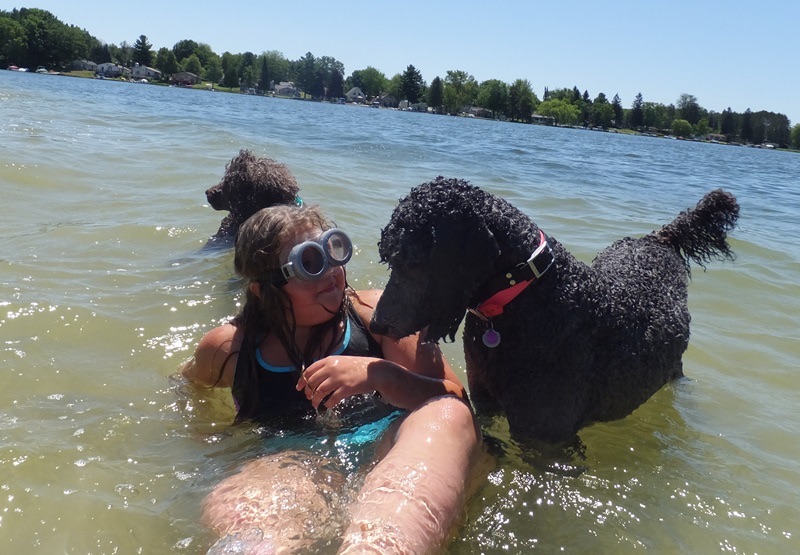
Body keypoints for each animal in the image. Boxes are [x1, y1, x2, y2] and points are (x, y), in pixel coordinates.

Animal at [370, 177, 739, 443]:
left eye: (410, 260)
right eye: (389, 257)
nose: (376, 324)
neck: (524, 298)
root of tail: (658, 240)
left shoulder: (545, 436)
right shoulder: (485, 402)